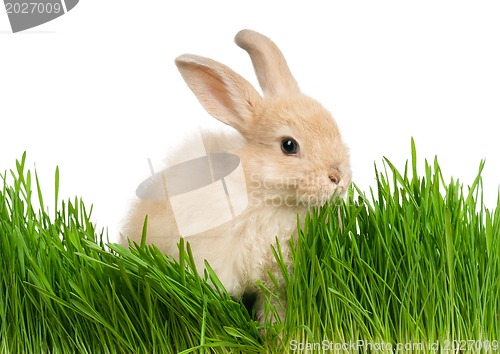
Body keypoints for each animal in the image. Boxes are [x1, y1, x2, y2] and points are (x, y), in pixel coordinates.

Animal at [120, 29, 352, 324]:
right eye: (289, 145)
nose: (338, 177)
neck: (263, 194)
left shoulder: (275, 278)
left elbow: (274, 306)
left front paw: (274, 331)